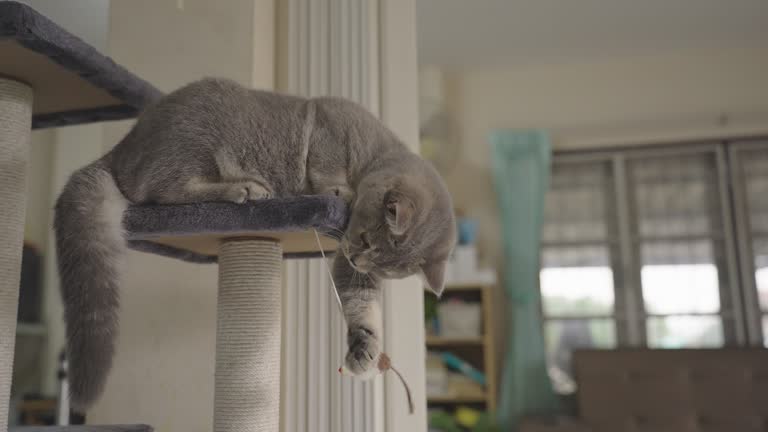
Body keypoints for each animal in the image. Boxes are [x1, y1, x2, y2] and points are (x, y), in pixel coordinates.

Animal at [55, 76, 456, 410]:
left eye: (382, 266)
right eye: (364, 239)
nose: (359, 259)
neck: (376, 153)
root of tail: (123, 146)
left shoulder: (347, 265)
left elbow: (363, 305)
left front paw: (366, 348)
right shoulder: (327, 123)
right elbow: (326, 168)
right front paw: (338, 188)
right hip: (195, 142)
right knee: (163, 189)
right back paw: (244, 188)